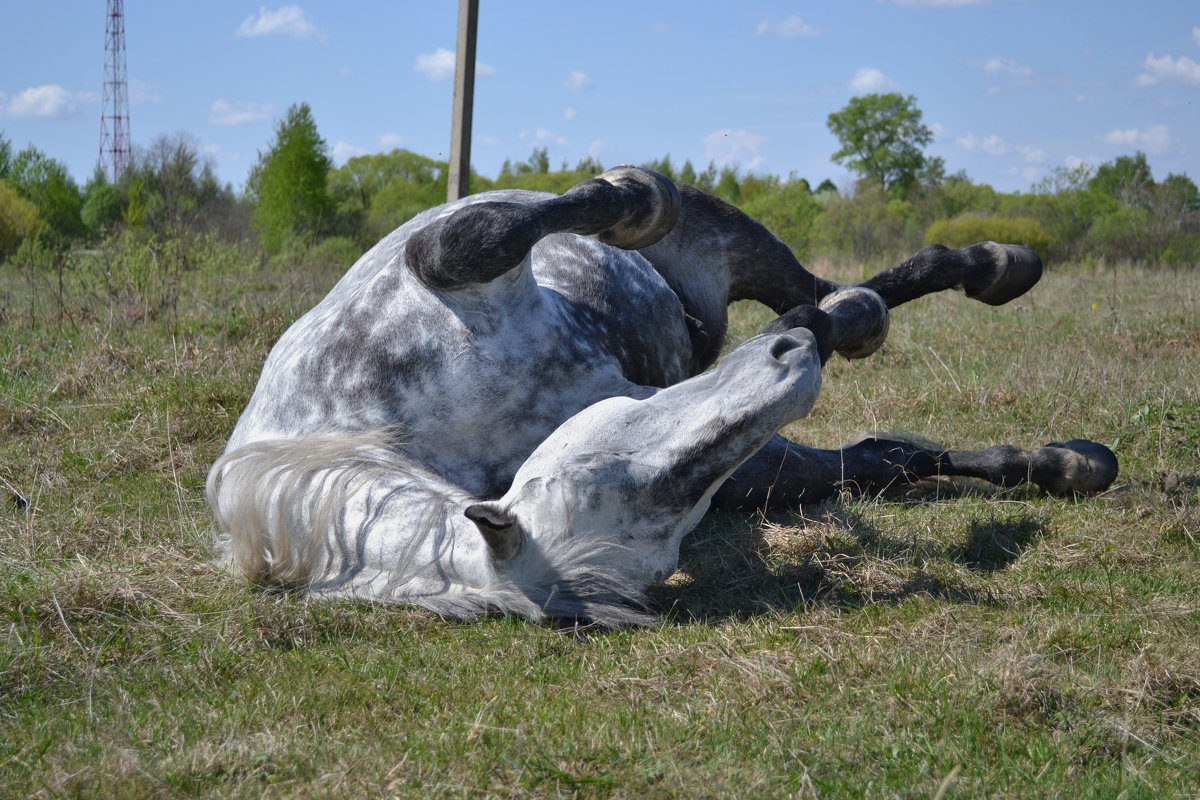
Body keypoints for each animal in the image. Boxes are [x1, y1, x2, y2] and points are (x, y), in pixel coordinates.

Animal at [206, 164, 1113, 623]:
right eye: (659, 512)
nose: (789, 372)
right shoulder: (737, 434)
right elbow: (878, 447)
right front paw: (1058, 463)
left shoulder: (451, 267)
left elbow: (484, 233)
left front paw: (633, 196)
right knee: (839, 348)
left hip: (739, 242)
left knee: (845, 282)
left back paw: (997, 266)